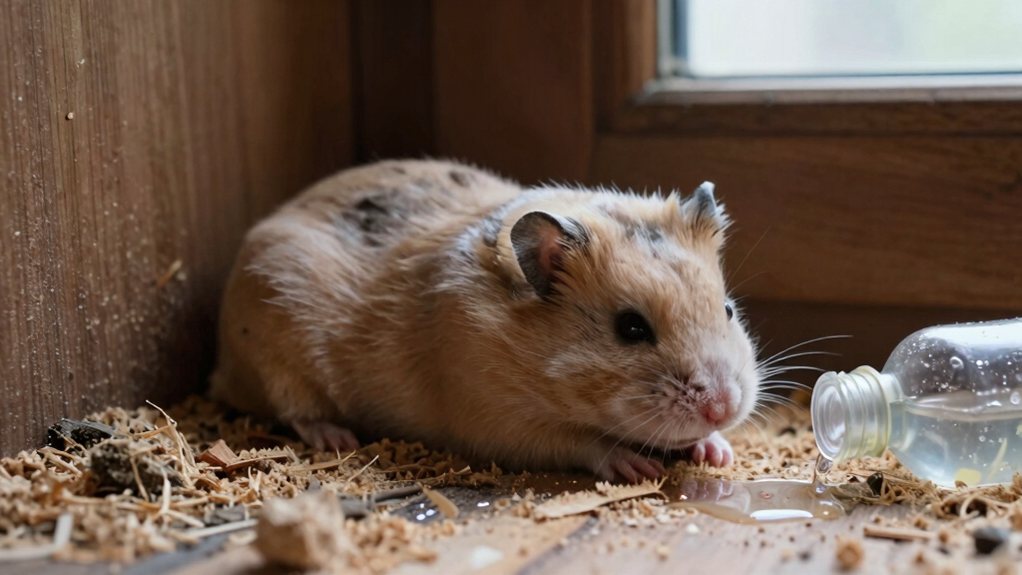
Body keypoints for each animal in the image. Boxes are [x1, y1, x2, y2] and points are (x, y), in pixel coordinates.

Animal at [211, 159, 760, 482]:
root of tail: (223, 367)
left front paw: (717, 451)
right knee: (297, 413)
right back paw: (337, 438)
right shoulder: (501, 423)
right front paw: (638, 465)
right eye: (630, 328)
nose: (723, 407)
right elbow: (585, 444)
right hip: (280, 361)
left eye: (728, 310)